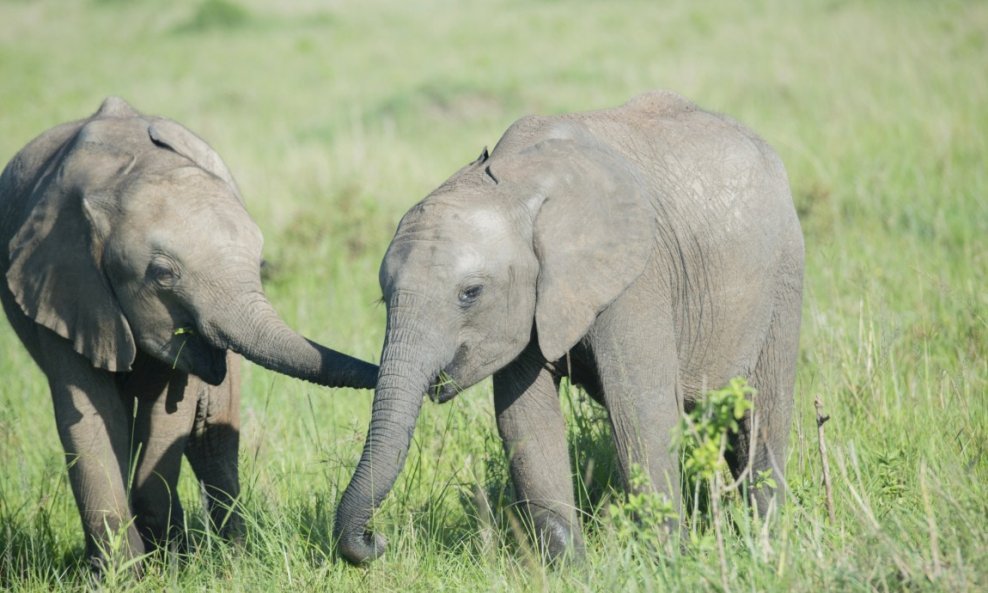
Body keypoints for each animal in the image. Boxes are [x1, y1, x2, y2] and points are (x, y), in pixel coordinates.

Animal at [0, 97, 380, 568]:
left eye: (260, 263)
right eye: (162, 275)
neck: (127, 174)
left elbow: (169, 414)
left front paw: (167, 563)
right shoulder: (63, 286)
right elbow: (89, 416)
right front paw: (122, 574)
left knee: (211, 438)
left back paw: (229, 558)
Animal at [336, 90, 808, 560]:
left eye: (470, 292)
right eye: (384, 299)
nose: (379, 540)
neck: (518, 185)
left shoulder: (637, 277)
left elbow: (642, 408)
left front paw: (664, 560)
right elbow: (525, 419)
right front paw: (570, 565)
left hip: (784, 273)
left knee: (762, 412)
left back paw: (768, 536)